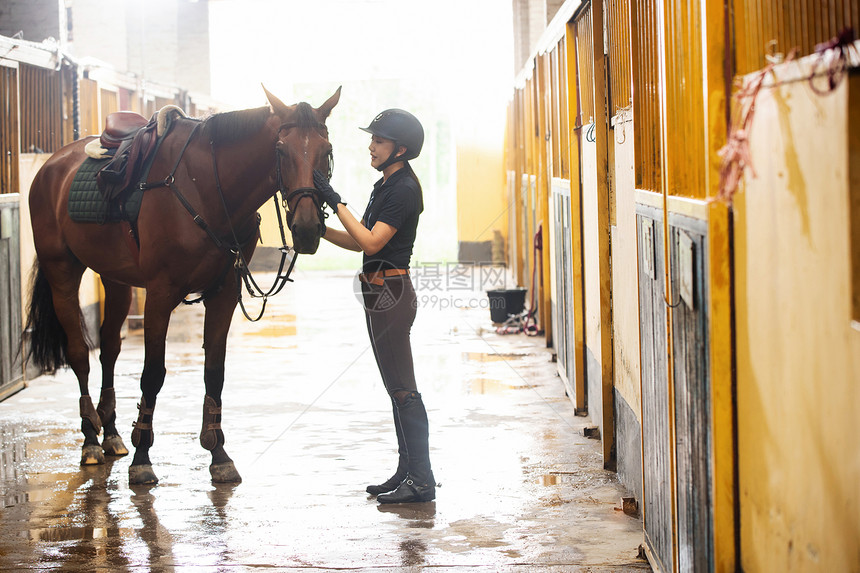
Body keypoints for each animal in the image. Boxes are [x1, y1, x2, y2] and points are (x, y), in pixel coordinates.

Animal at [24, 87, 340, 484]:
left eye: (326, 150)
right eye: (280, 150)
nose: (307, 229)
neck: (206, 187)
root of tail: (52, 166)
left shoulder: (224, 293)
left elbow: (214, 372)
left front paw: (219, 454)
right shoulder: (160, 295)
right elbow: (152, 375)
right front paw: (142, 457)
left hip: (115, 279)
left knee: (109, 348)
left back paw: (110, 435)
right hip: (62, 271)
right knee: (80, 354)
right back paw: (91, 441)